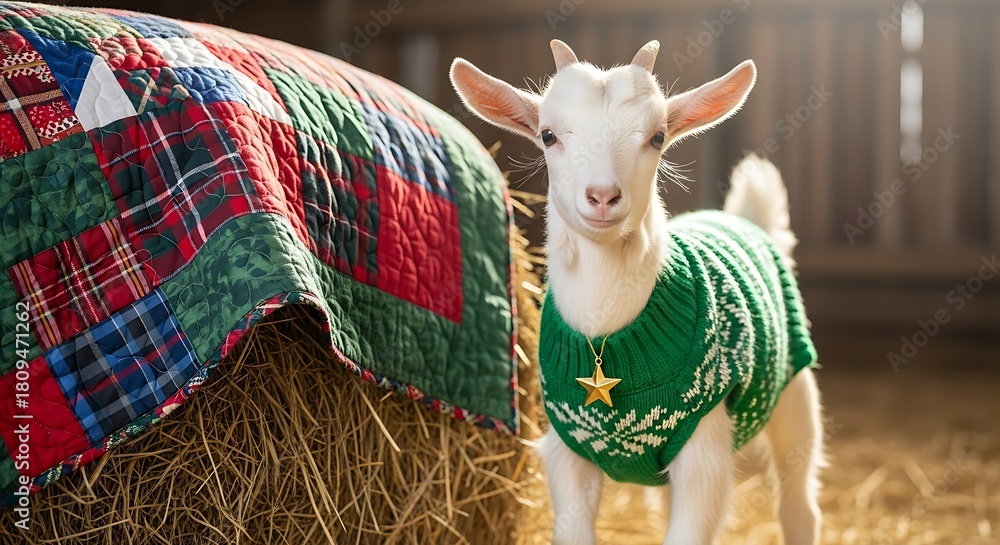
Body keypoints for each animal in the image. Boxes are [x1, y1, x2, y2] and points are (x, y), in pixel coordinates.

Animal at [451, 40, 823, 545]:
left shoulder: (703, 450)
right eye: (547, 136)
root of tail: (745, 219)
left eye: (657, 137)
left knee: (798, 501)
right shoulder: (568, 452)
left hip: (794, 397)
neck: (608, 336)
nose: (603, 196)